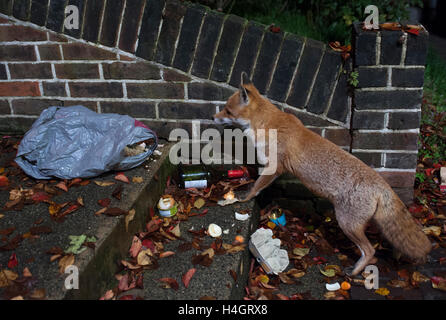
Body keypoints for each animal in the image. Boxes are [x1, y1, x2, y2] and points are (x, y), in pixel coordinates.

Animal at [214, 72, 430, 276]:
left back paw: (355, 271)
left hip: (347, 223)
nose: (213, 118)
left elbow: (256, 187)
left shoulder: (274, 166)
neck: (266, 123)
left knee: (370, 251)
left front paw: (242, 197)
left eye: (228, 110)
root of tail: (383, 185)